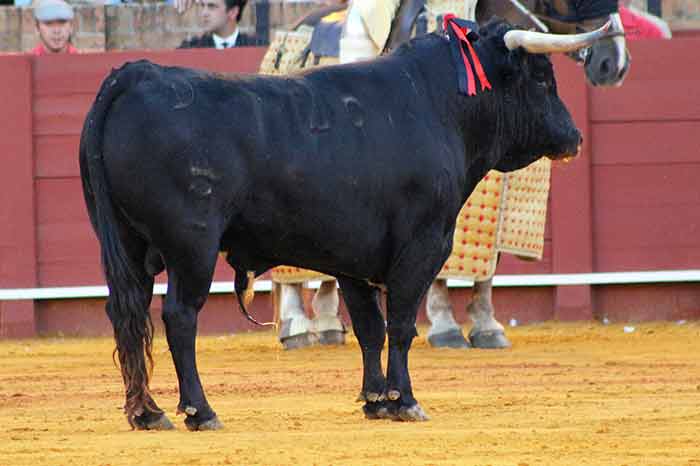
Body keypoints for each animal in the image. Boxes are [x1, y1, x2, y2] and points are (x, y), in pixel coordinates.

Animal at [80, 16, 608, 428]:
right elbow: (400, 324)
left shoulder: (353, 256)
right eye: (541, 79)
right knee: (179, 317)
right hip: (192, 247)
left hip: (127, 246)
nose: (575, 136)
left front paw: (376, 400)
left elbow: (370, 328)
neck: (438, 105)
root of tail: (138, 75)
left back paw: (146, 413)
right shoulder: (423, 244)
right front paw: (405, 401)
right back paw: (199, 411)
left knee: (127, 315)